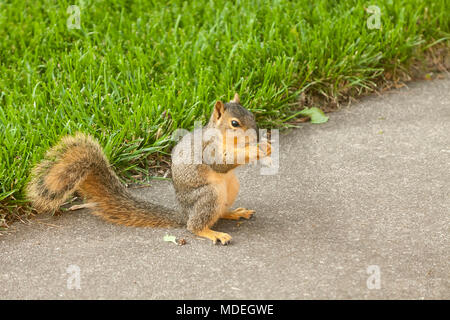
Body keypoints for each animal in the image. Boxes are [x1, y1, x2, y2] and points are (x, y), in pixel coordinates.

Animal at [27, 93, 270, 245]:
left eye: (252, 116)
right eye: (235, 123)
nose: (257, 136)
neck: (223, 137)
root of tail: (183, 213)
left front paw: (264, 147)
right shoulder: (207, 149)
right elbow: (220, 163)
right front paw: (254, 151)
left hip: (231, 186)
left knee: (219, 212)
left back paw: (234, 212)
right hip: (208, 195)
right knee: (194, 225)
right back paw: (212, 233)